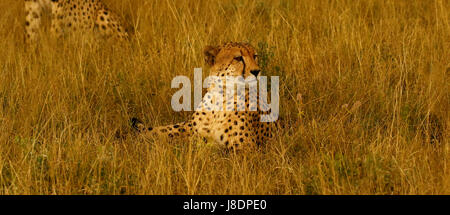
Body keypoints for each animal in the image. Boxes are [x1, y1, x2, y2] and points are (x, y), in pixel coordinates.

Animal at [132, 42, 278, 151]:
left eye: (255, 56)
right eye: (238, 58)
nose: (256, 71)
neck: (220, 95)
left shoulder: (245, 148)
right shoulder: (191, 127)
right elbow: (166, 129)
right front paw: (139, 131)